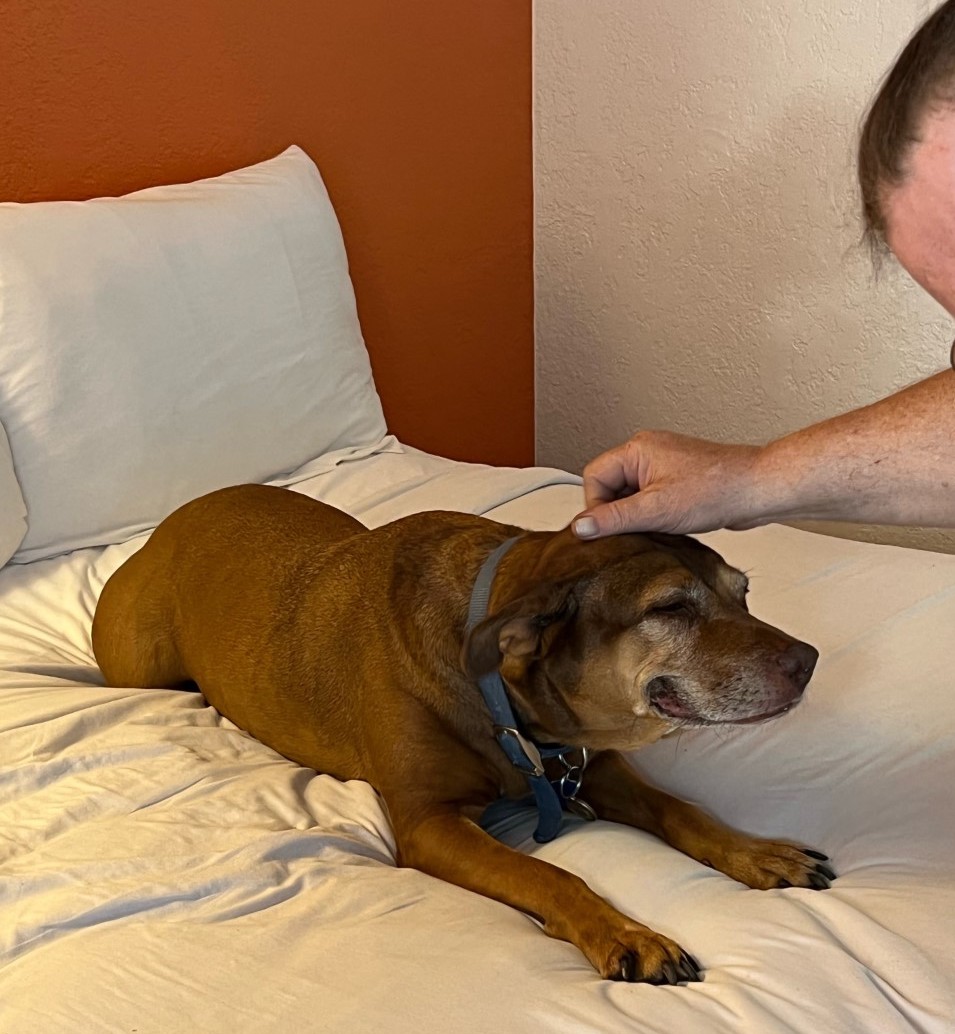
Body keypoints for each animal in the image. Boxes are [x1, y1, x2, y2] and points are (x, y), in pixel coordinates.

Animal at [93, 483, 830, 984]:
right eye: (670, 608)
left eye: (742, 594)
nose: (809, 661)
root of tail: (167, 523)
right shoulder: (429, 825)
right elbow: (550, 875)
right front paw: (627, 934)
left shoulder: (592, 762)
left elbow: (680, 808)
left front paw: (757, 852)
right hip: (140, 664)